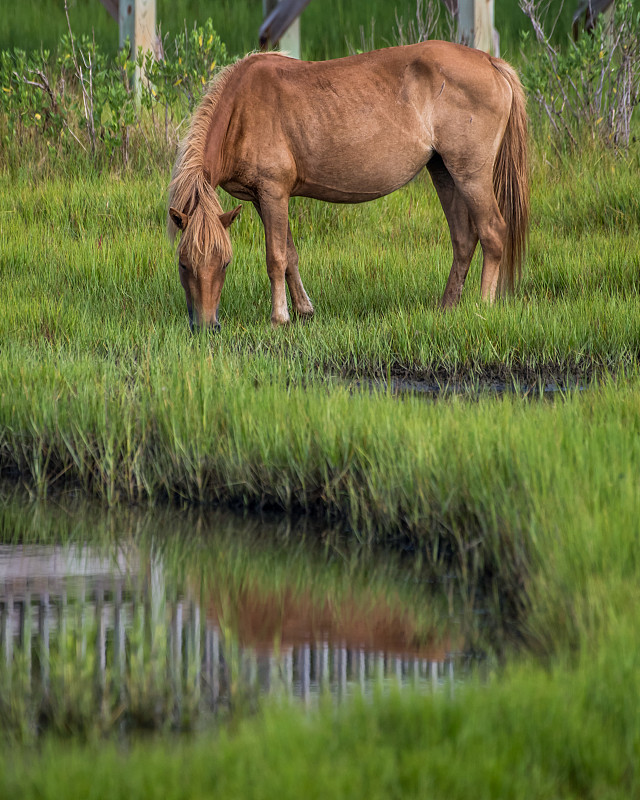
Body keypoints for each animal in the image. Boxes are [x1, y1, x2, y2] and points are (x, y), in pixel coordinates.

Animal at [168, 39, 528, 328]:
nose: (205, 326)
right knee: (463, 239)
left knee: (493, 232)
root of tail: (489, 61)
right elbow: (290, 254)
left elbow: (276, 258)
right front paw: (304, 310)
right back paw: (447, 308)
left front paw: (279, 317)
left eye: (225, 262)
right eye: (183, 264)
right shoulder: (263, 198)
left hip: (471, 175)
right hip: (443, 172)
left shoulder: (273, 193)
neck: (242, 110)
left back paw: (483, 306)